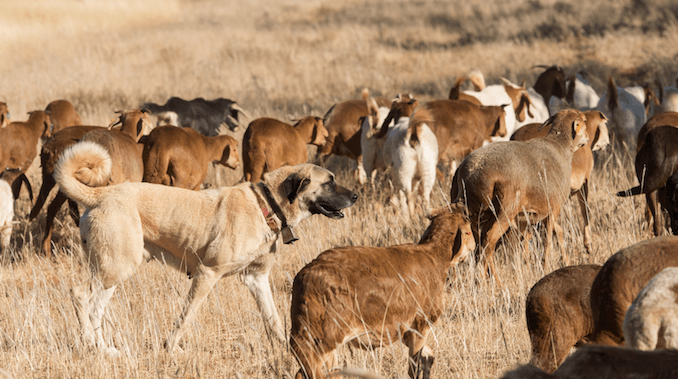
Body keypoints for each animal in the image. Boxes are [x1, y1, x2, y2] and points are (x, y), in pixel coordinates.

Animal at [55, 140, 358, 356]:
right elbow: (186, 316)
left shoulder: (256, 278)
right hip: (117, 268)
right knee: (79, 294)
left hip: (112, 272)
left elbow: (272, 318)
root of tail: (100, 193)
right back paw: (89, 344)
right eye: (329, 182)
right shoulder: (207, 274)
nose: (355, 196)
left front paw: (289, 351)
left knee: (96, 309)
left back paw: (103, 349)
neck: (266, 204)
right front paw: (171, 348)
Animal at [290, 206, 476, 378]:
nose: (473, 247)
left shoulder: (405, 332)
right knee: (308, 369)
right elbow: (414, 367)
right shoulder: (421, 325)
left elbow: (428, 356)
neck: (434, 256)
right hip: (323, 338)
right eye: (469, 231)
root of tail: (304, 276)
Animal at [452, 110, 588, 284]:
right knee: (489, 240)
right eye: (584, 122)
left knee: (479, 245)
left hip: (477, 213)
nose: (587, 139)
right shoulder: (553, 208)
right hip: (504, 210)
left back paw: (491, 279)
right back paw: (487, 280)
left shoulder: (528, 217)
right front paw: (545, 268)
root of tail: (472, 172)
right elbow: (547, 239)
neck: (561, 148)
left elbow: (545, 236)